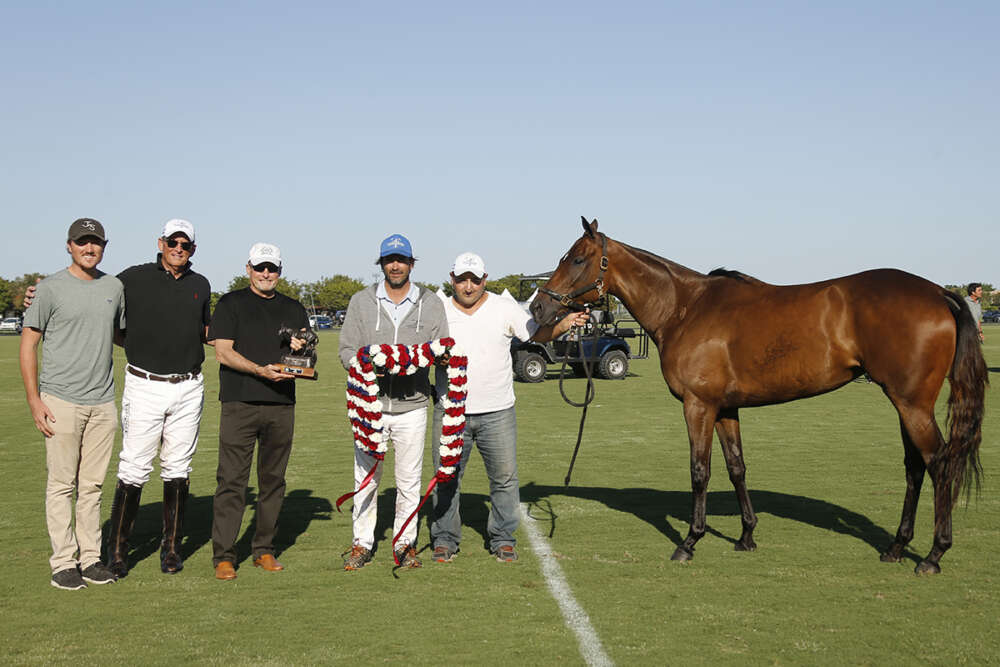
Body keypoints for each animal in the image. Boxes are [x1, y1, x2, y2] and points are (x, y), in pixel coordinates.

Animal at [532, 219, 984, 576]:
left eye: (577, 259)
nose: (538, 308)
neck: (685, 307)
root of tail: (938, 293)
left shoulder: (698, 406)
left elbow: (700, 471)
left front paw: (689, 542)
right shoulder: (725, 408)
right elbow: (737, 467)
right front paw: (746, 536)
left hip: (912, 405)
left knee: (939, 464)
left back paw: (933, 555)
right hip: (906, 404)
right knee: (915, 467)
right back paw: (896, 547)